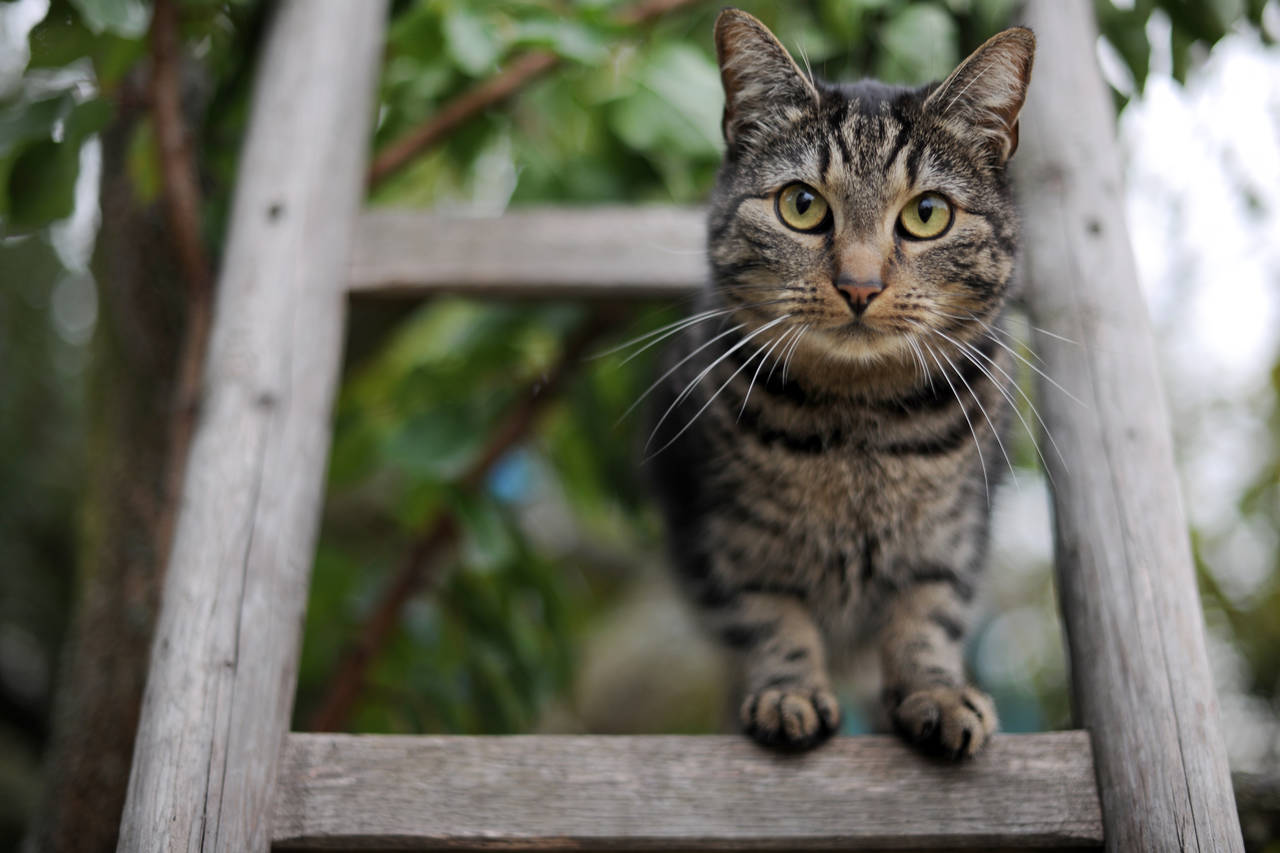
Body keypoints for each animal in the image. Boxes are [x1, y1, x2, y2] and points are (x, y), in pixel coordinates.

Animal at [650, 9, 1039, 753]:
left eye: (927, 214)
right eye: (801, 205)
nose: (860, 285)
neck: (860, 421)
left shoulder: (948, 538)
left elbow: (925, 617)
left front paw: (936, 694)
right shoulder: (734, 538)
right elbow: (772, 619)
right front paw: (789, 693)